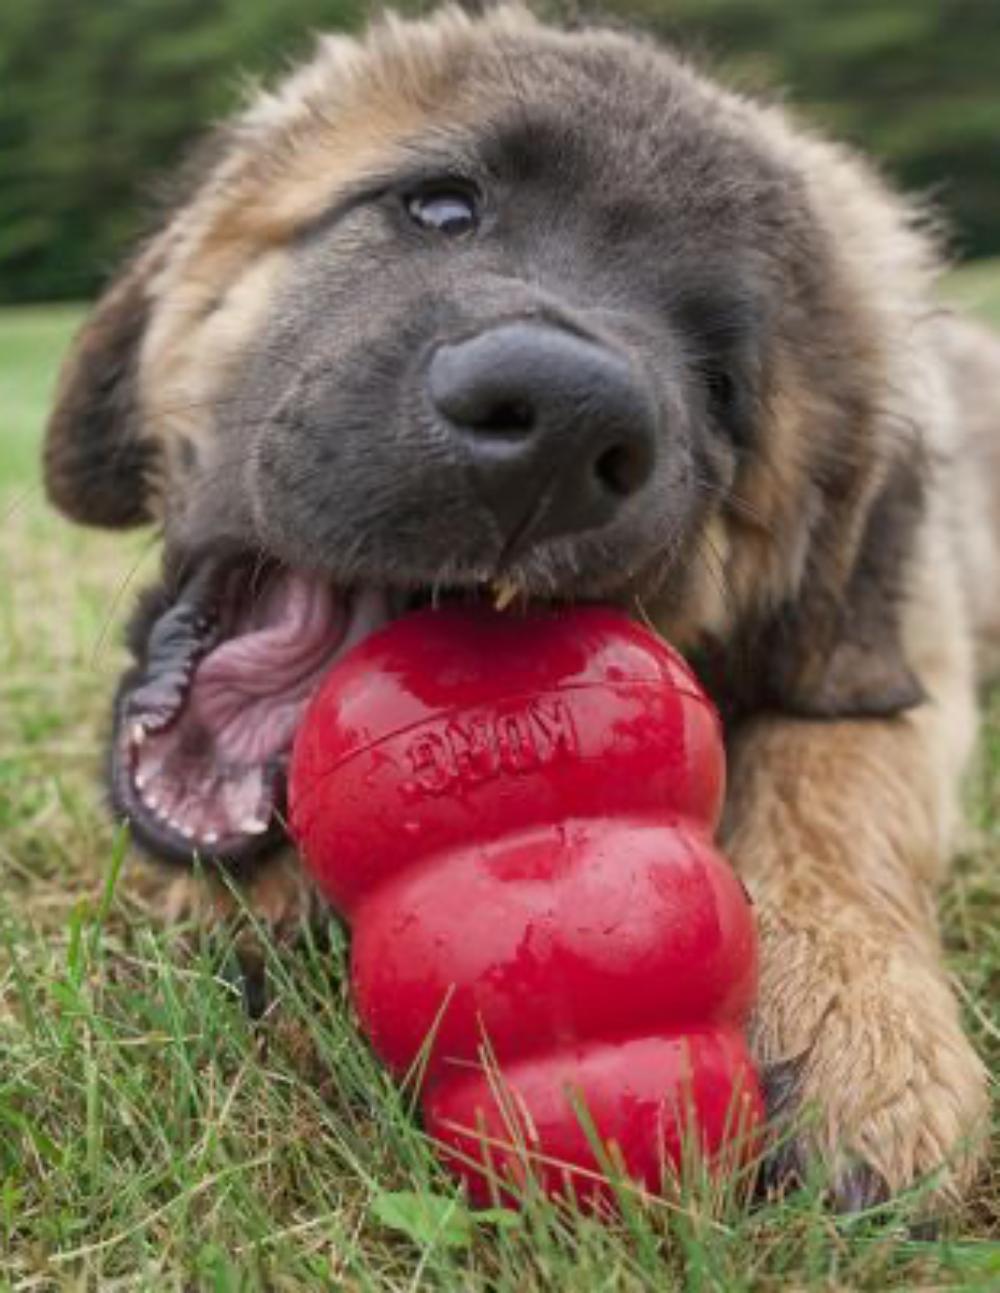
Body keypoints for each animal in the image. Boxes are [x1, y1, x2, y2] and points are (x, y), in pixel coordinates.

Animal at [40, 5, 988, 1205]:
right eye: (441, 207)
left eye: (722, 381)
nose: (561, 425)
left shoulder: (908, 658)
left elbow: (842, 777)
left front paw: (858, 1017)